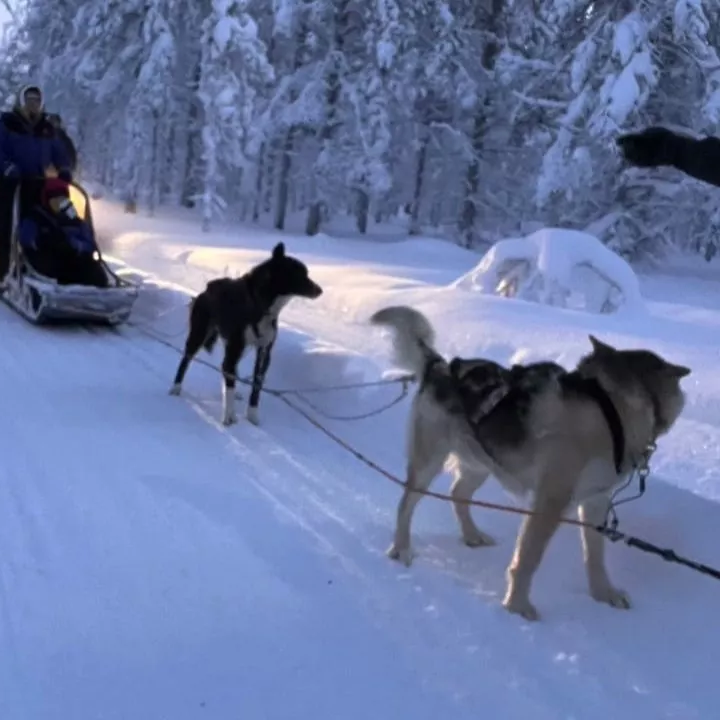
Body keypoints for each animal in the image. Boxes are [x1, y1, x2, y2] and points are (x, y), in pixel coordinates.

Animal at [170, 242, 322, 424]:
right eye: (300, 273)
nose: (320, 290)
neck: (260, 305)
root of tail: (205, 291)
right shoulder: (236, 346)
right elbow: (228, 379)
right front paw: (229, 415)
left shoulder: (264, 352)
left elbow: (256, 385)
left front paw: (252, 415)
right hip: (199, 336)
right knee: (187, 361)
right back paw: (176, 387)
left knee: (230, 369)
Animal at [372, 304, 692, 620]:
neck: (608, 407)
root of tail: (441, 366)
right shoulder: (550, 502)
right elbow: (528, 558)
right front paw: (517, 605)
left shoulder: (595, 502)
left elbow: (595, 556)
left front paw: (603, 593)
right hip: (430, 463)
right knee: (406, 504)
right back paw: (401, 548)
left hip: (481, 464)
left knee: (458, 494)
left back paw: (472, 535)